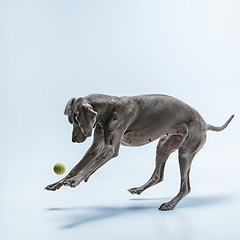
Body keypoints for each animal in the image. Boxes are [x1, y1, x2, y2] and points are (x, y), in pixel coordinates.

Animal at [44, 94, 233, 210]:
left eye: (75, 120)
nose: (74, 140)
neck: (111, 106)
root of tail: (205, 123)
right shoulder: (96, 146)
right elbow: (76, 167)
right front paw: (58, 182)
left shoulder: (110, 148)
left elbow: (89, 167)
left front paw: (75, 181)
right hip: (164, 145)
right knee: (158, 176)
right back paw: (138, 189)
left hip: (185, 152)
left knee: (186, 187)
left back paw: (169, 204)